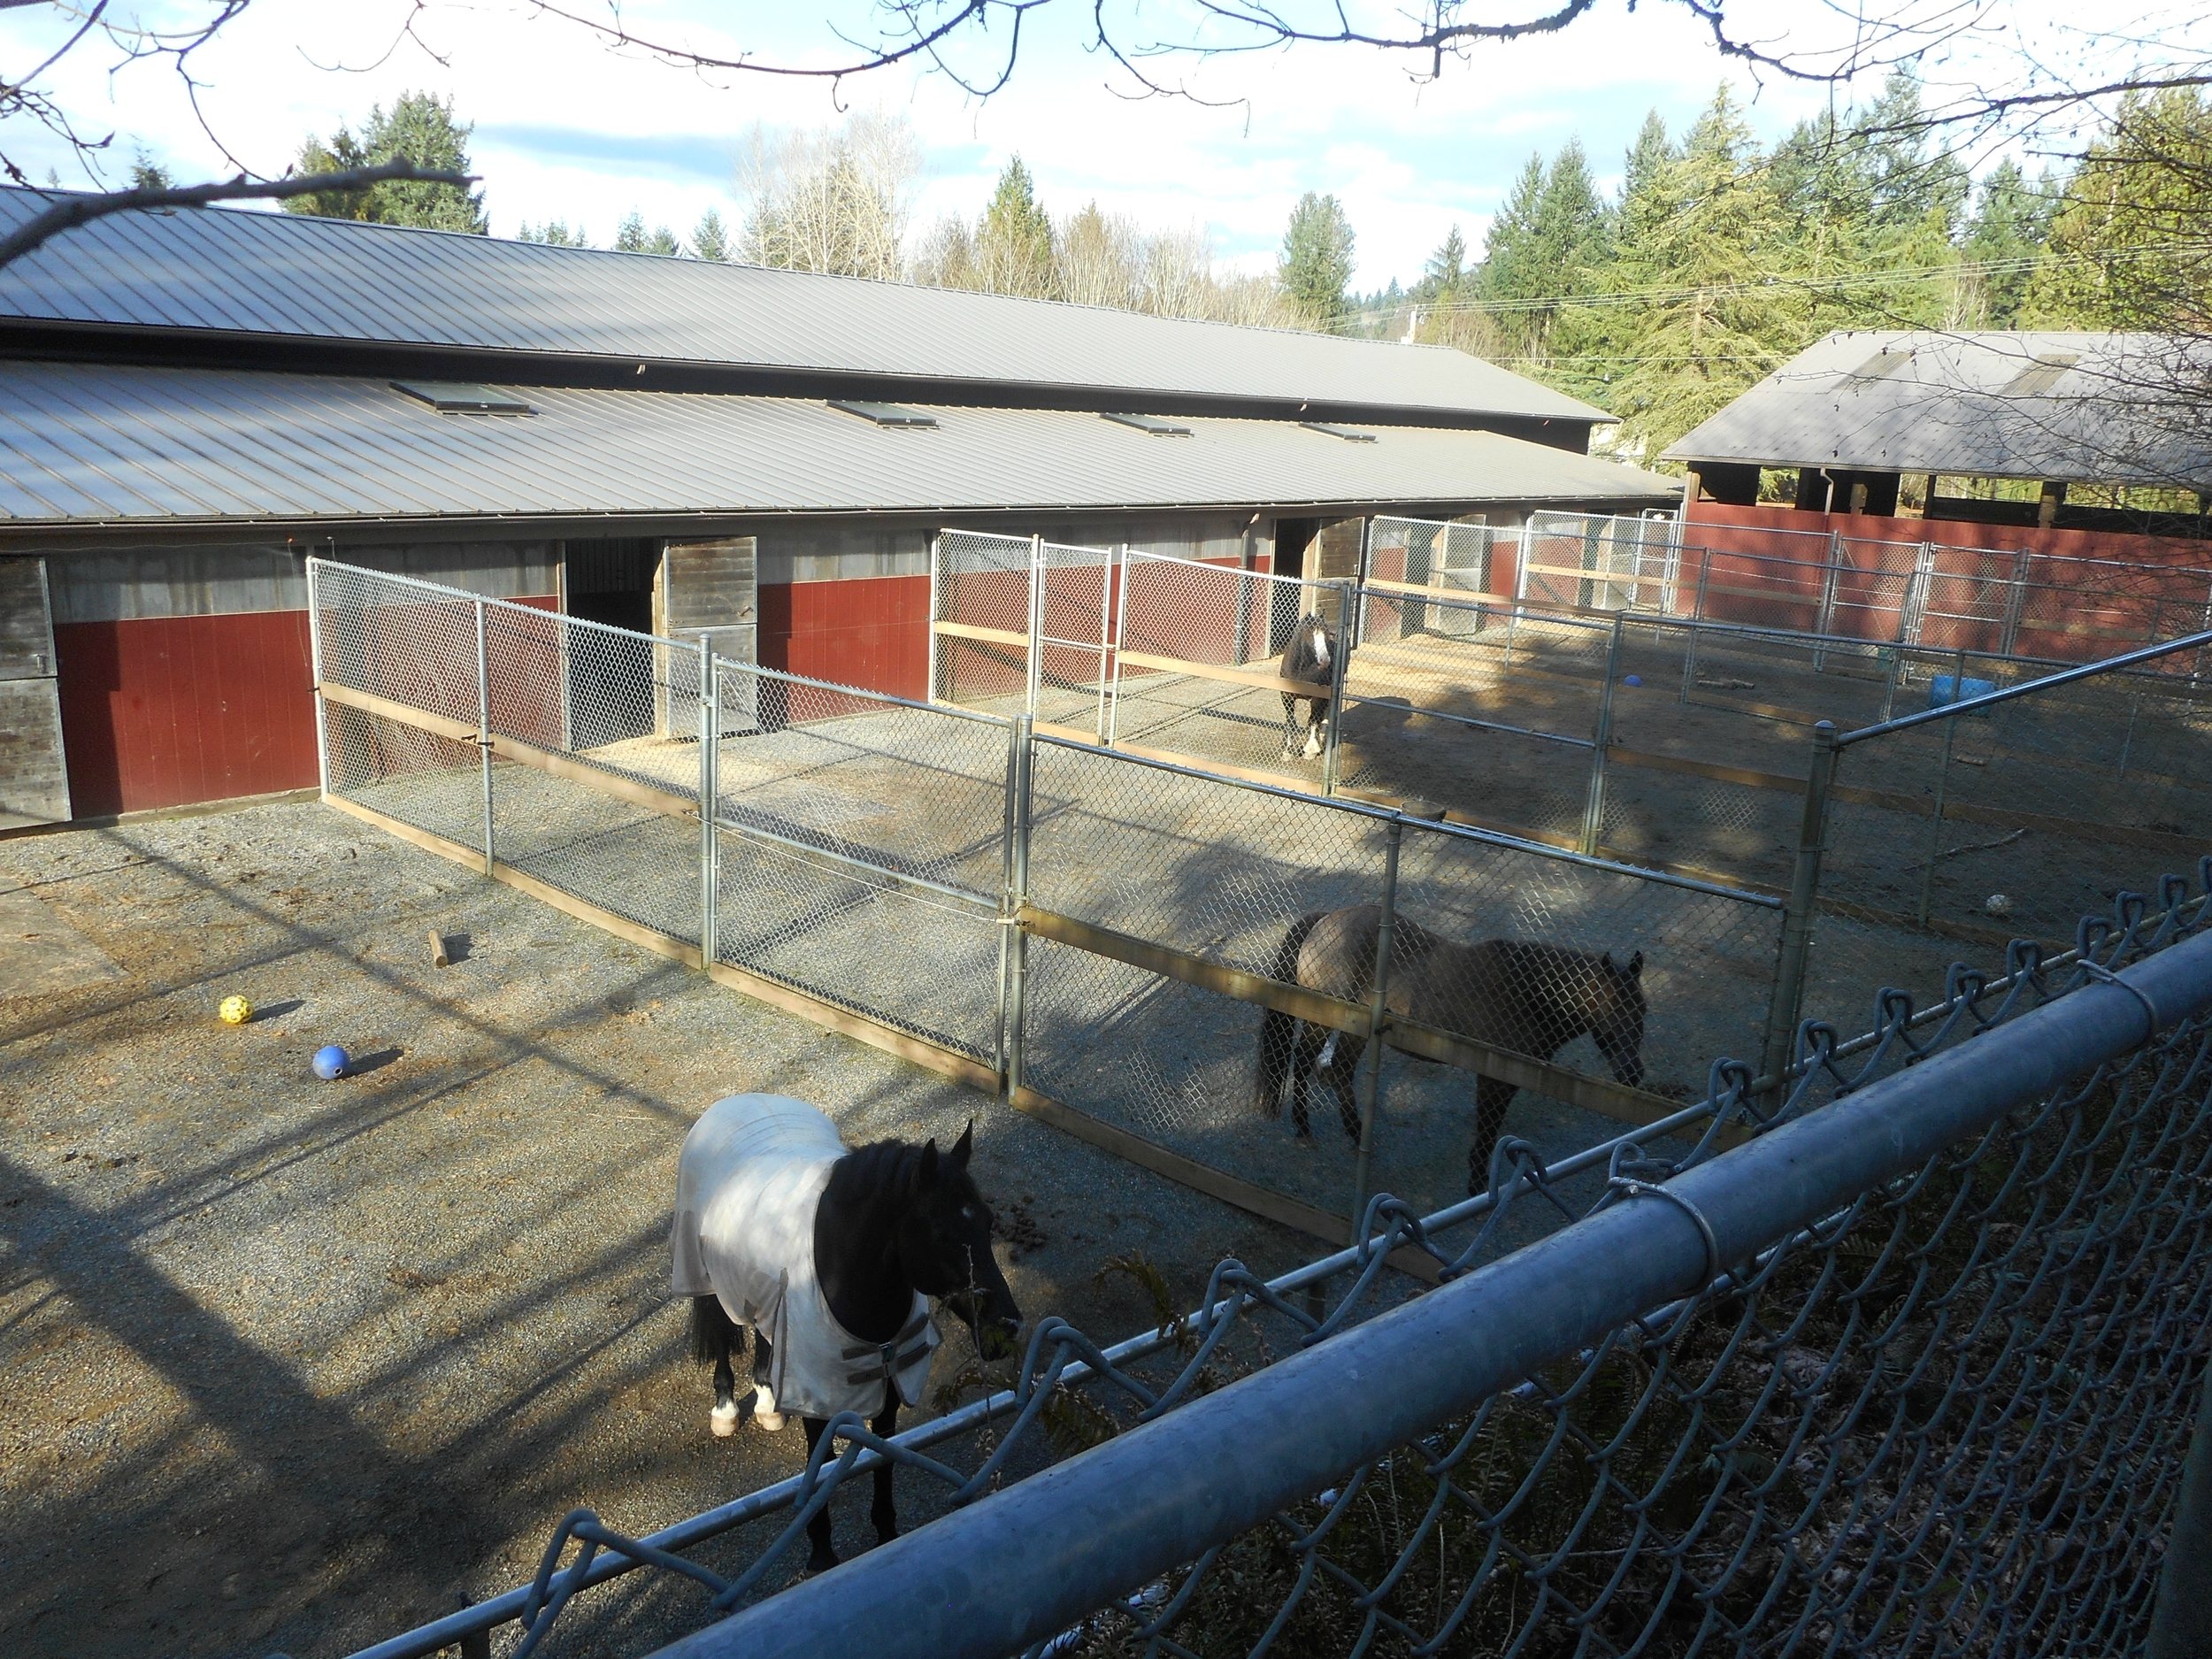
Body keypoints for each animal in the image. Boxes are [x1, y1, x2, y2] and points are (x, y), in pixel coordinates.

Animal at [668, 1097, 1022, 1575]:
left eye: (987, 1222)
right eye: (941, 1232)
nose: (1006, 1327)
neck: (838, 1265)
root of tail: (734, 1102)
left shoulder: (889, 1388)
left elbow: (884, 1458)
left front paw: (887, 1534)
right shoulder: (817, 1399)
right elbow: (819, 1470)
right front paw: (822, 1553)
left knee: (763, 1334)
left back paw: (767, 1401)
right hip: (704, 1278)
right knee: (723, 1339)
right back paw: (726, 1408)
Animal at [1248, 911, 1646, 1194]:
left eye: (1641, 1013)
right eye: (1613, 1011)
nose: (1633, 1073)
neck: (1527, 995)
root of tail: (1327, 920)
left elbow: (1491, 1128)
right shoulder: (1493, 1077)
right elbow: (1487, 1128)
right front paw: (1477, 1185)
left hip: (1354, 1029)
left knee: (1340, 1070)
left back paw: (1358, 1136)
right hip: (1322, 1019)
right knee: (1304, 1062)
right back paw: (1304, 1129)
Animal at [1274, 615, 1336, 765]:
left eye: (1326, 635)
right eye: (1310, 635)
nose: (1325, 662)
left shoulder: (1317, 698)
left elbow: (1313, 720)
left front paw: (1310, 750)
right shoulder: (1286, 696)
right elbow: (1291, 721)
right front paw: (1287, 751)